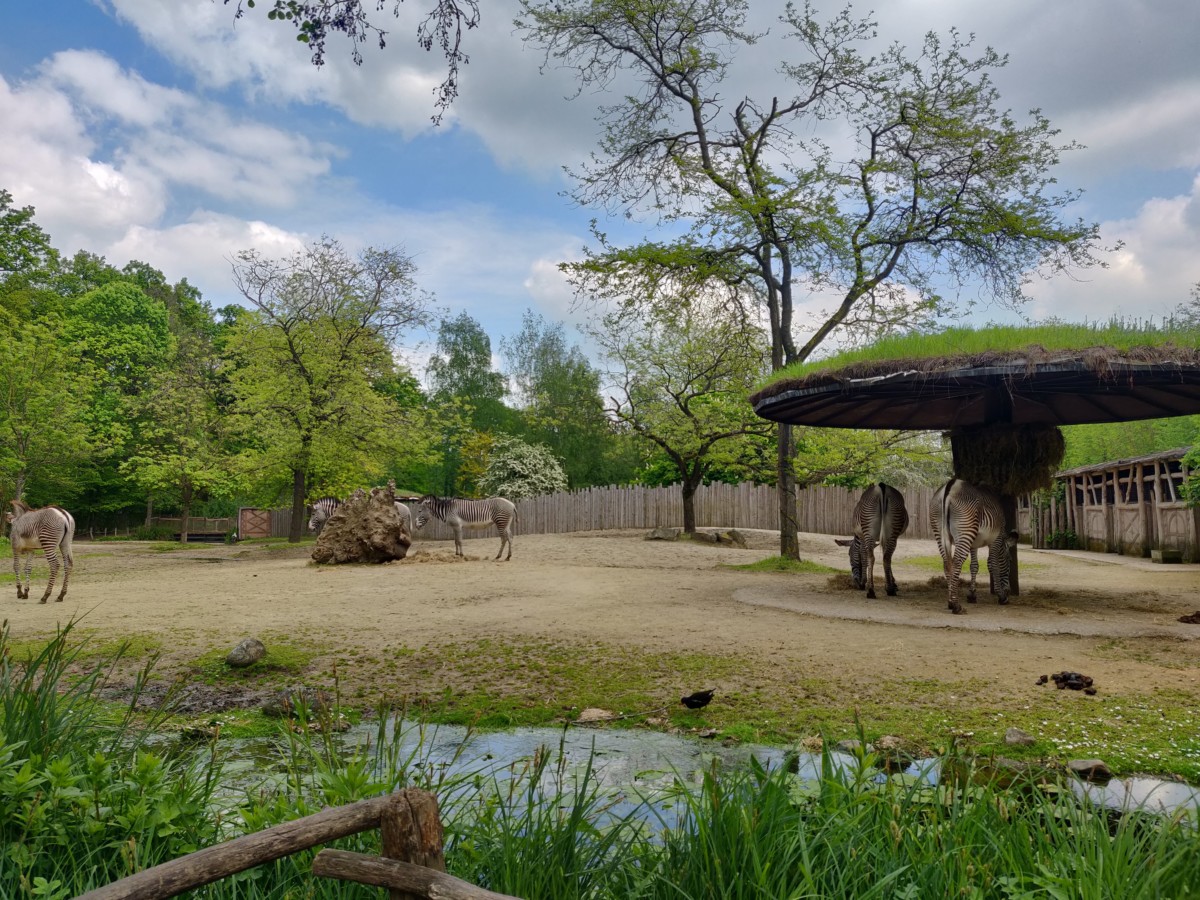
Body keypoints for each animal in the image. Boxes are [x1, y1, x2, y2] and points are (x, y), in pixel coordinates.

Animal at [926, 480, 1012, 614]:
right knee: (956, 563)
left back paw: (950, 602)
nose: (1008, 591)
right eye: (1009, 562)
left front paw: (972, 595)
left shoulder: (974, 544)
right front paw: (1002, 597)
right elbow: (993, 565)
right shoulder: (996, 539)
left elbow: (974, 566)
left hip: (940, 532)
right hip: (965, 531)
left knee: (947, 564)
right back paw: (956, 606)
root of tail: (951, 485)